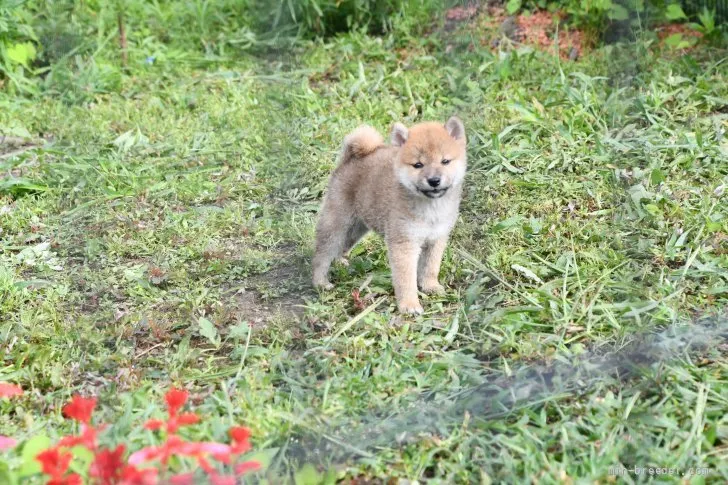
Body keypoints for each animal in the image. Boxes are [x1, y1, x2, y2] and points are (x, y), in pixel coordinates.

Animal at [312, 117, 466, 314]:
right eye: (418, 165)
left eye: (445, 161)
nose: (434, 181)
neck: (431, 208)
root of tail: (350, 158)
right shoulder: (404, 243)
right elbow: (406, 279)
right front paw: (409, 304)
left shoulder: (436, 239)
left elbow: (431, 267)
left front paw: (430, 286)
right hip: (337, 223)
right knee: (322, 255)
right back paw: (320, 282)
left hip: (357, 228)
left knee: (342, 246)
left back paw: (340, 262)